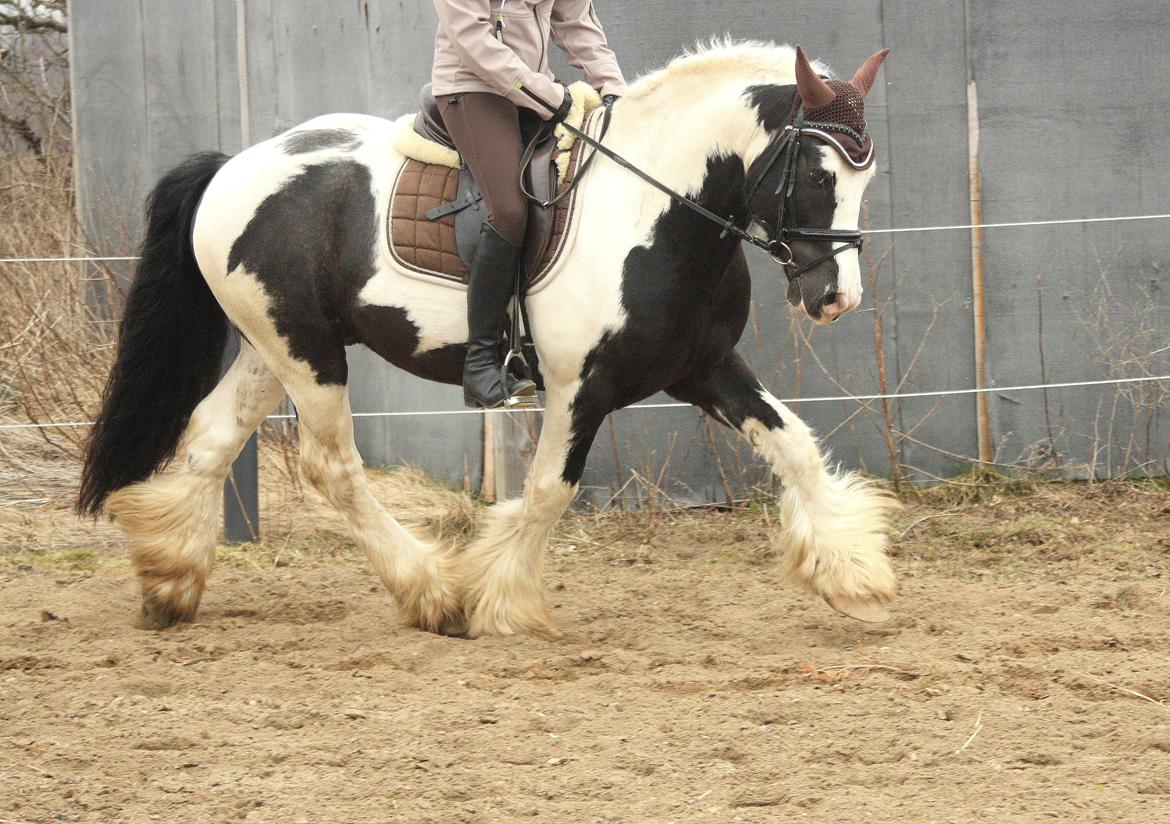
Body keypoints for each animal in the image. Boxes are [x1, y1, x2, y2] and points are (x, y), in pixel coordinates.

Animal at [75, 40, 893, 636]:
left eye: (866, 176)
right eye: (818, 174)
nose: (836, 297)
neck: (654, 211)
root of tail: (233, 166)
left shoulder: (705, 366)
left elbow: (795, 444)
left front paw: (855, 576)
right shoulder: (579, 388)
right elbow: (549, 491)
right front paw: (499, 600)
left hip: (268, 345)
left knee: (213, 435)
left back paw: (169, 581)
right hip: (308, 353)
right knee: (332, 466)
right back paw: (431, 593)